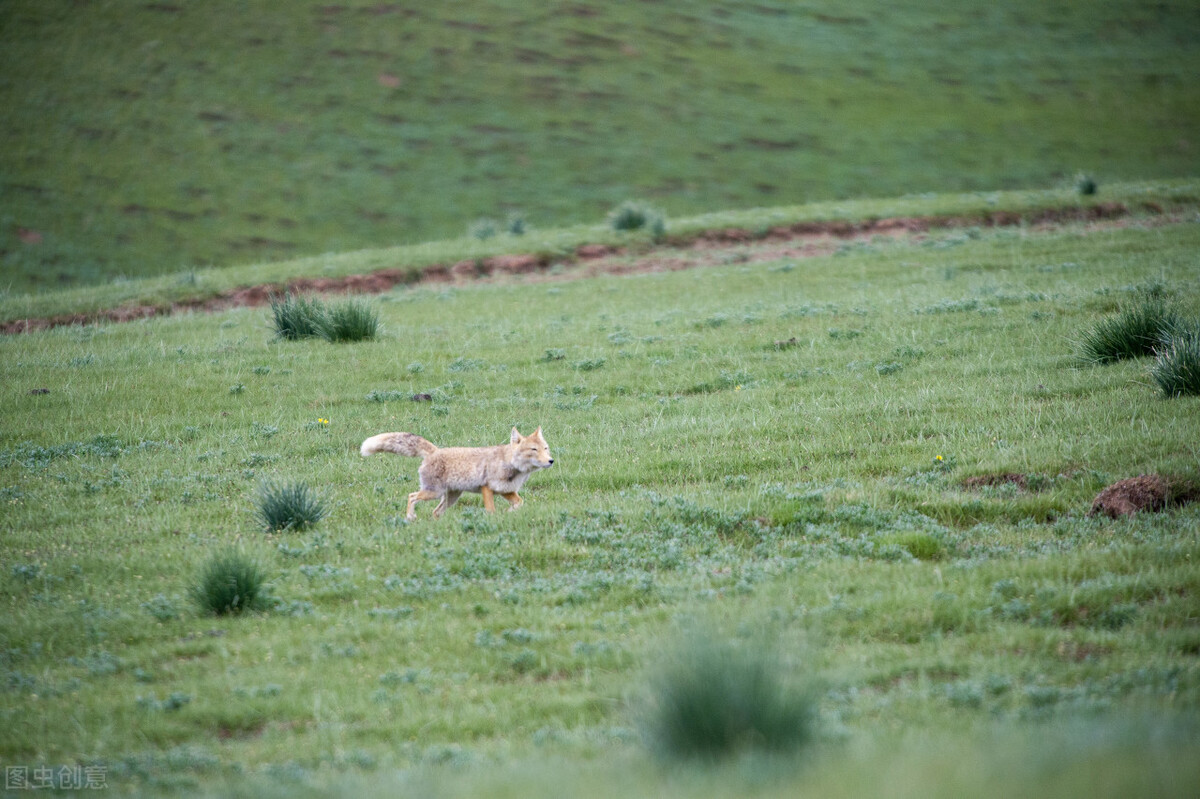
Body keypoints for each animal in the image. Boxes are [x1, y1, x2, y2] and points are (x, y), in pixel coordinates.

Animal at [360, 427, 556, 520]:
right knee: (411, 496)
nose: (551, 461)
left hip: (450, 497)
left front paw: (509, 513)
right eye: (534, 450)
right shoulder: (487, 489)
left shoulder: (506, 491)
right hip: (433, 493)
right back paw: (410, 517)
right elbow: (491, 511)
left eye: (545, 449)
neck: (512, 466)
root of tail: (434, 451)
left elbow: (519, 503)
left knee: (435, 512)